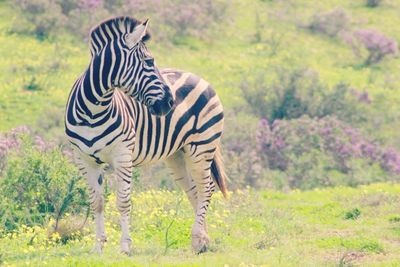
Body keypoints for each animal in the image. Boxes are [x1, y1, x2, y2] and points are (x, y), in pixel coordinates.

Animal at [65, 16, 228, 255]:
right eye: (149, 62)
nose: (169, 103)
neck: (92, 111)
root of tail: (200, 77)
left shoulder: (122, 156)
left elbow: (123, 201)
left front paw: (125, 246)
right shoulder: (84, 160)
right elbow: (97, 202)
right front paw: (98, 246)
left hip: (202, 146)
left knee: (206, 188)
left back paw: (198, 236)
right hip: (177, 154)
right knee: (194, 191)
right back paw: (202, 241)